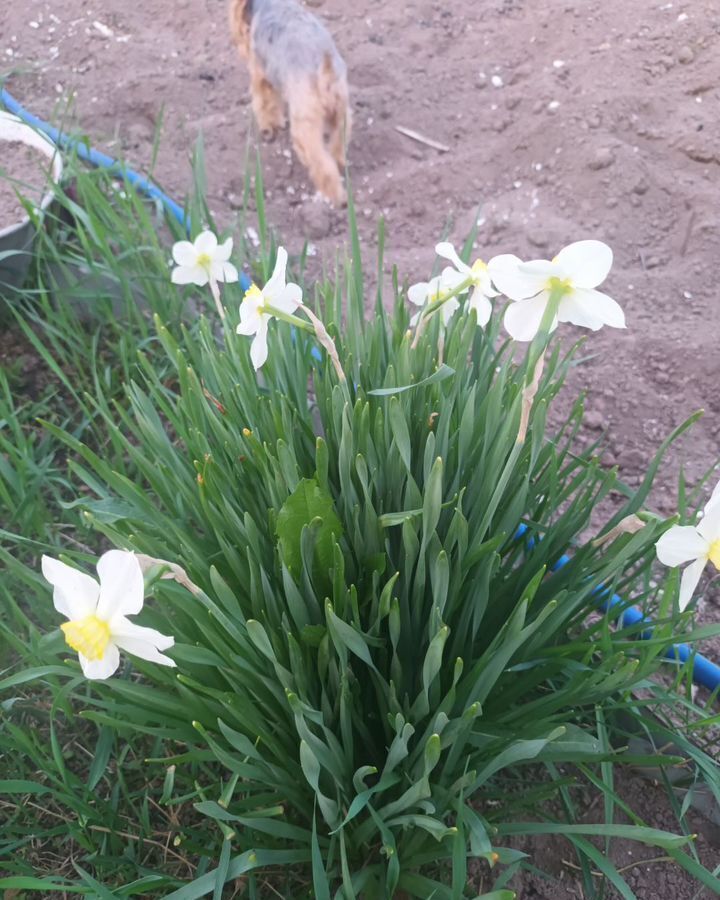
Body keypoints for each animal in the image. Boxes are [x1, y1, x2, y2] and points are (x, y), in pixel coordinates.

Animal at [231, 0, 352, 205]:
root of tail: (323, 69)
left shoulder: (261, 75)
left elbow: (265, 104)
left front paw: (269, 127)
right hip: (341, 109)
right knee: (337, 144)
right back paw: (339, 162)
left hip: (305, 122)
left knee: (321, 163)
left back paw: (335, 197)